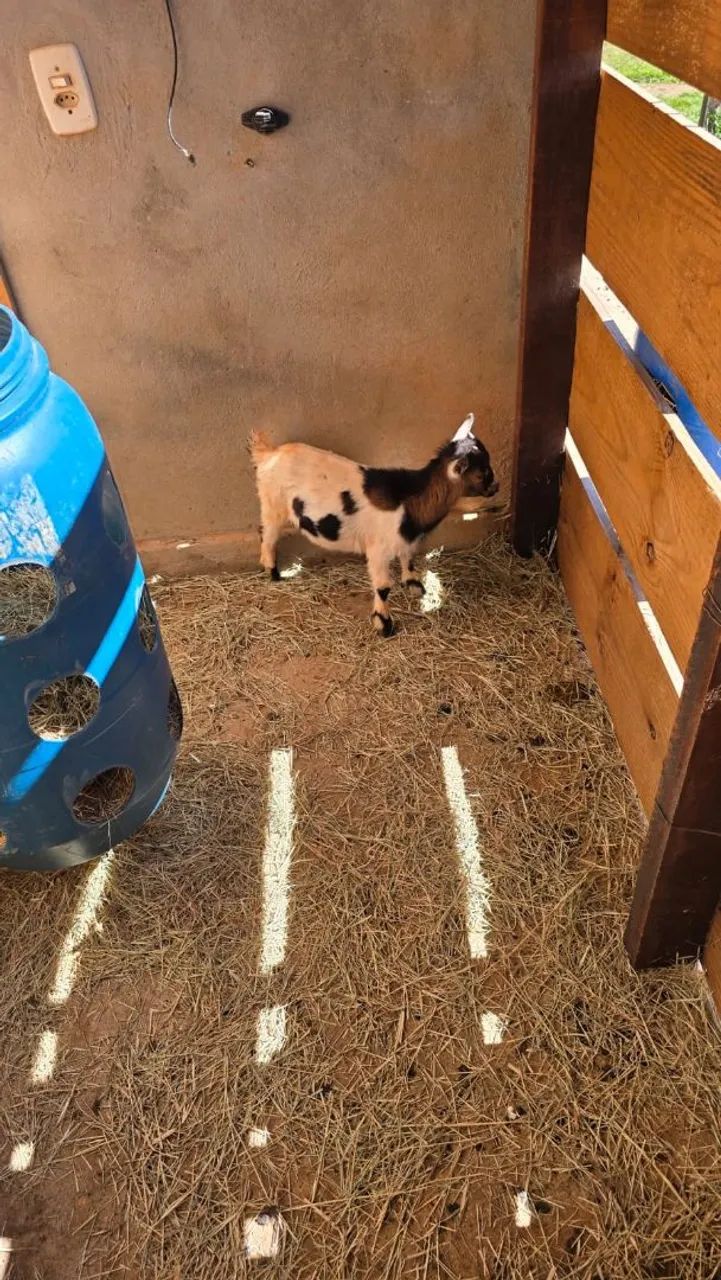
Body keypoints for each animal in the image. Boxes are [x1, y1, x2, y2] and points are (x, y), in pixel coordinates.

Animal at [249, 414, 499, 636]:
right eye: (482, 473)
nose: (496, 487)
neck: (408, 498)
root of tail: (268, 454)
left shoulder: (405, 539)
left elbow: (408, 558)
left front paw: (414, 585)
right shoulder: (378, 550)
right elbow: (383, 587)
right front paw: (384, 624)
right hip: (273, 504)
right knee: (268, 534)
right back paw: (273, 573)